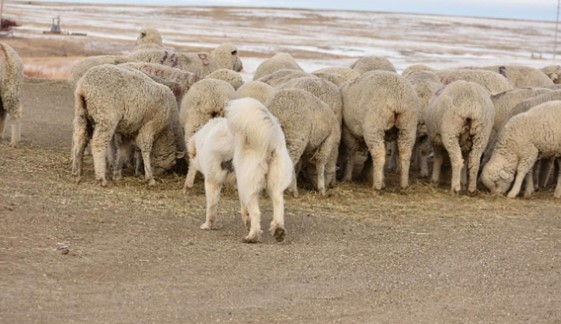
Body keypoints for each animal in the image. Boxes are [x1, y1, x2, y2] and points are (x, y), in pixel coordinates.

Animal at [225, 98, 294, 243]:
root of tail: (271, 142)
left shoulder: (242, 183)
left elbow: (244, 208)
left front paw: (247, 221)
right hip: (275, 183)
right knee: (279, 205)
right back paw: (278, 230)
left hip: (251, 183)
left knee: (256, 213)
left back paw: (252, 236)